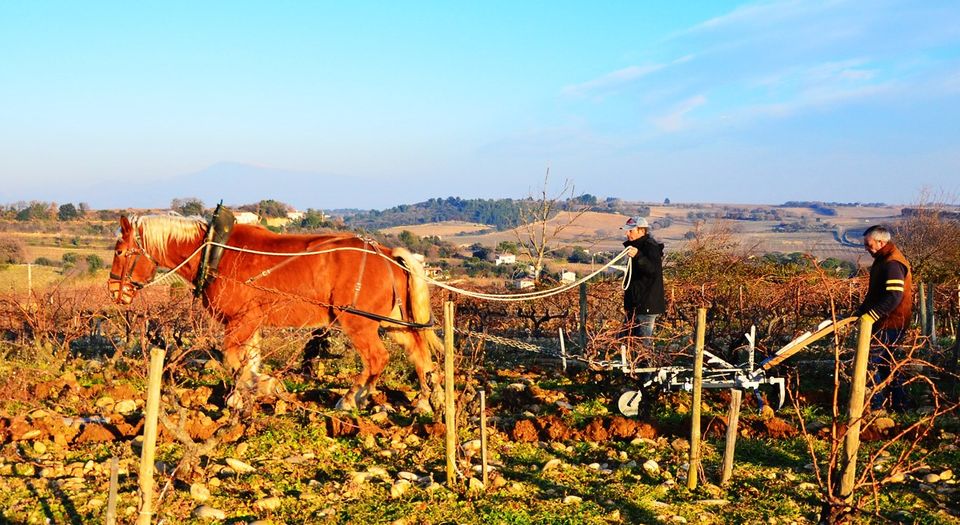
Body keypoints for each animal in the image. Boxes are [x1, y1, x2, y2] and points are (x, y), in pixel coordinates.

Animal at [108, 215, 442, 412]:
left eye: (120, 251)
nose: (113, 291)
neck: (215, 252)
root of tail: (387, 254)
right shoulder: (250, 323)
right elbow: (248, 360)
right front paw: (241, 395)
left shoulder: (240, 321)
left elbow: (233, 359)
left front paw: (262, 386)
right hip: (392, 321)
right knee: (418, 353)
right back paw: (426, 400)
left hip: (358, 323)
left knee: (377, 359)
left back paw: (350, 399)